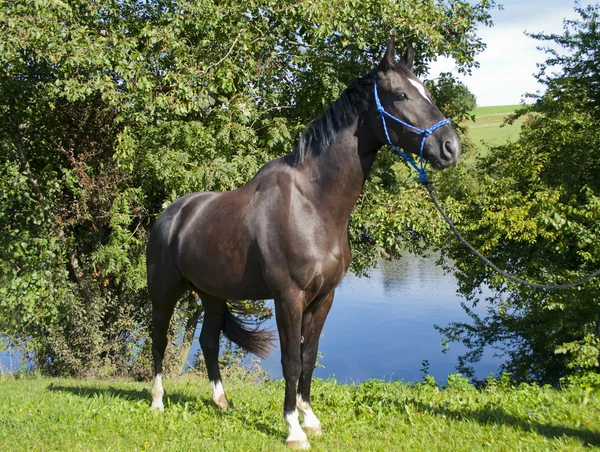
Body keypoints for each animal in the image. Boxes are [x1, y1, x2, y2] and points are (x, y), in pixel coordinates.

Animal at [146, 41, 460, 448]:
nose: (450, 147)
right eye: (401, 95)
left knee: (209, 341)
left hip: (213, 294)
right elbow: (291, 361)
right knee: (158, 339)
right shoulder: (288, 297)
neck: (312, 205)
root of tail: (171, 215)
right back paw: (157, 401)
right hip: (164, 292)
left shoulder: (324, 297)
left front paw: (310, 418)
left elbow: (308, 357)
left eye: (428, 91)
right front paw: (294, 429)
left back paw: (222, 402)